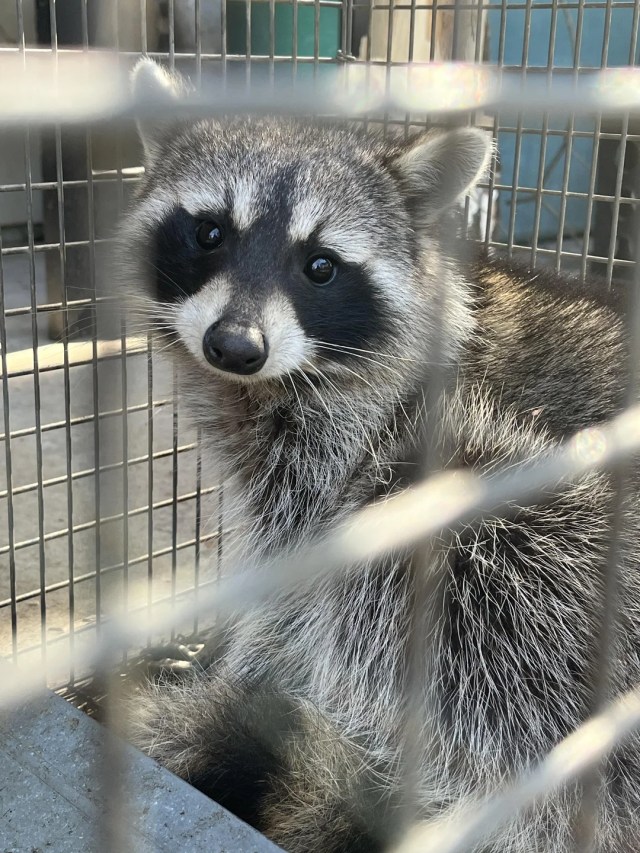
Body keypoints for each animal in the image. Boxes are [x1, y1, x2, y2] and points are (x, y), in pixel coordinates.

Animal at [120, 58, 640, 853]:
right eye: (209, 231)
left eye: (321, 266)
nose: (234, 346)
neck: (266, 387)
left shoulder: (353, 442)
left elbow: (297, 592)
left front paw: (244, 669)